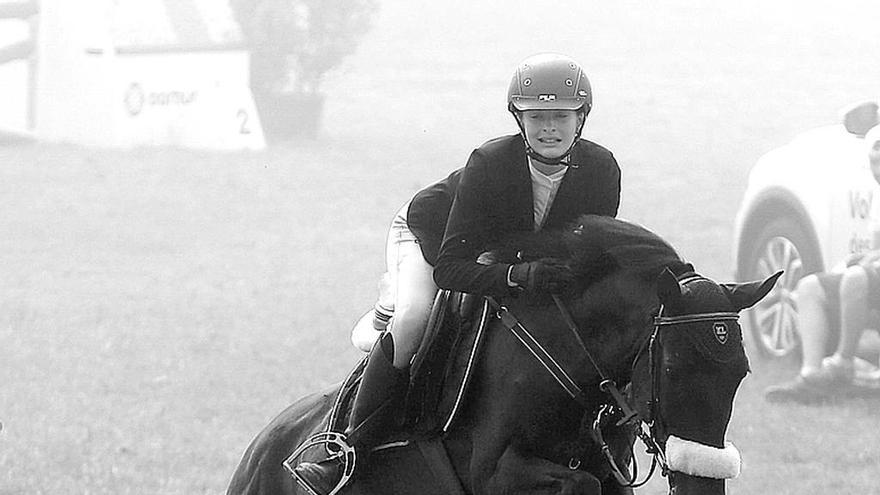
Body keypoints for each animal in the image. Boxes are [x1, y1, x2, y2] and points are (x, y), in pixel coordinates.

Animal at [225, 217, 776, 495]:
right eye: (673, 368)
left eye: (740, 375)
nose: (702, 488)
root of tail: (264, 444)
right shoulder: (493, 471)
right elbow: (577, 482)